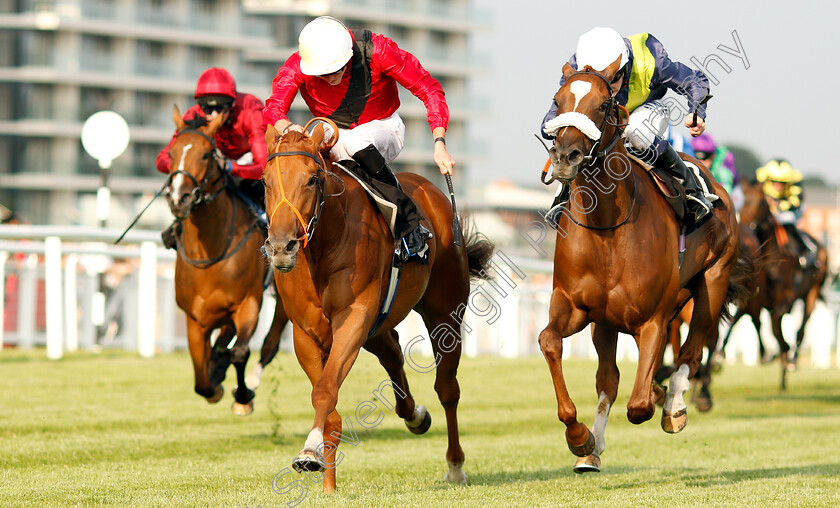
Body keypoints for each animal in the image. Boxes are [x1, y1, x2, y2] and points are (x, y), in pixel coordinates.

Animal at [164, 106, 288, 412]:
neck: (210, 251)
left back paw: (250, 380)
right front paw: (214, 380)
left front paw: (242, 396)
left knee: (269, 343)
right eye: (171, 153)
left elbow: (240, 352)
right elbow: (201, 378)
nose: (179, 199)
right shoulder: (195, 319)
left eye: (207, 154)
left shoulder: (248, 304)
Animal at [262, 119, 496, 492]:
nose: (281, 247)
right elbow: (327, 397)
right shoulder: (306, 332)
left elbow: (325, 389)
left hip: (444, 312)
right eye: (265, 181)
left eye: (312, 179)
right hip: (377, 327)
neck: (324, 248)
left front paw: (309, 451)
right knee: (393, 352)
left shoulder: (354, 317)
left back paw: (455, 465)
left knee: (447, 388)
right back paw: (415, 416)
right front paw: (328, 482)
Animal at [540, 61, 752, 474]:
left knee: (691, 350)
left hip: (712, 283)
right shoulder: (575, 307)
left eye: (603, 104)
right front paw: (580, 437)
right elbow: (549, 341)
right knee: (609, 377)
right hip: (607, 322)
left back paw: (674, 407)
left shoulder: (654, 317)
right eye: (558, 100)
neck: (608, 226)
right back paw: (593, 448)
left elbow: (639, 405)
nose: (564, 157)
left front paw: (659, 398)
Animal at [720, 181, 832, 386]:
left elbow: (773, 326)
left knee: (802, 327)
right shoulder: (755, 299)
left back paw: (792, 359)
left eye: (759, 203)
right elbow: (744, 320)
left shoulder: (784, 300)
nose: (743, 227)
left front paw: (782, 354)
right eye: (741, 200)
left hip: (811, 293)